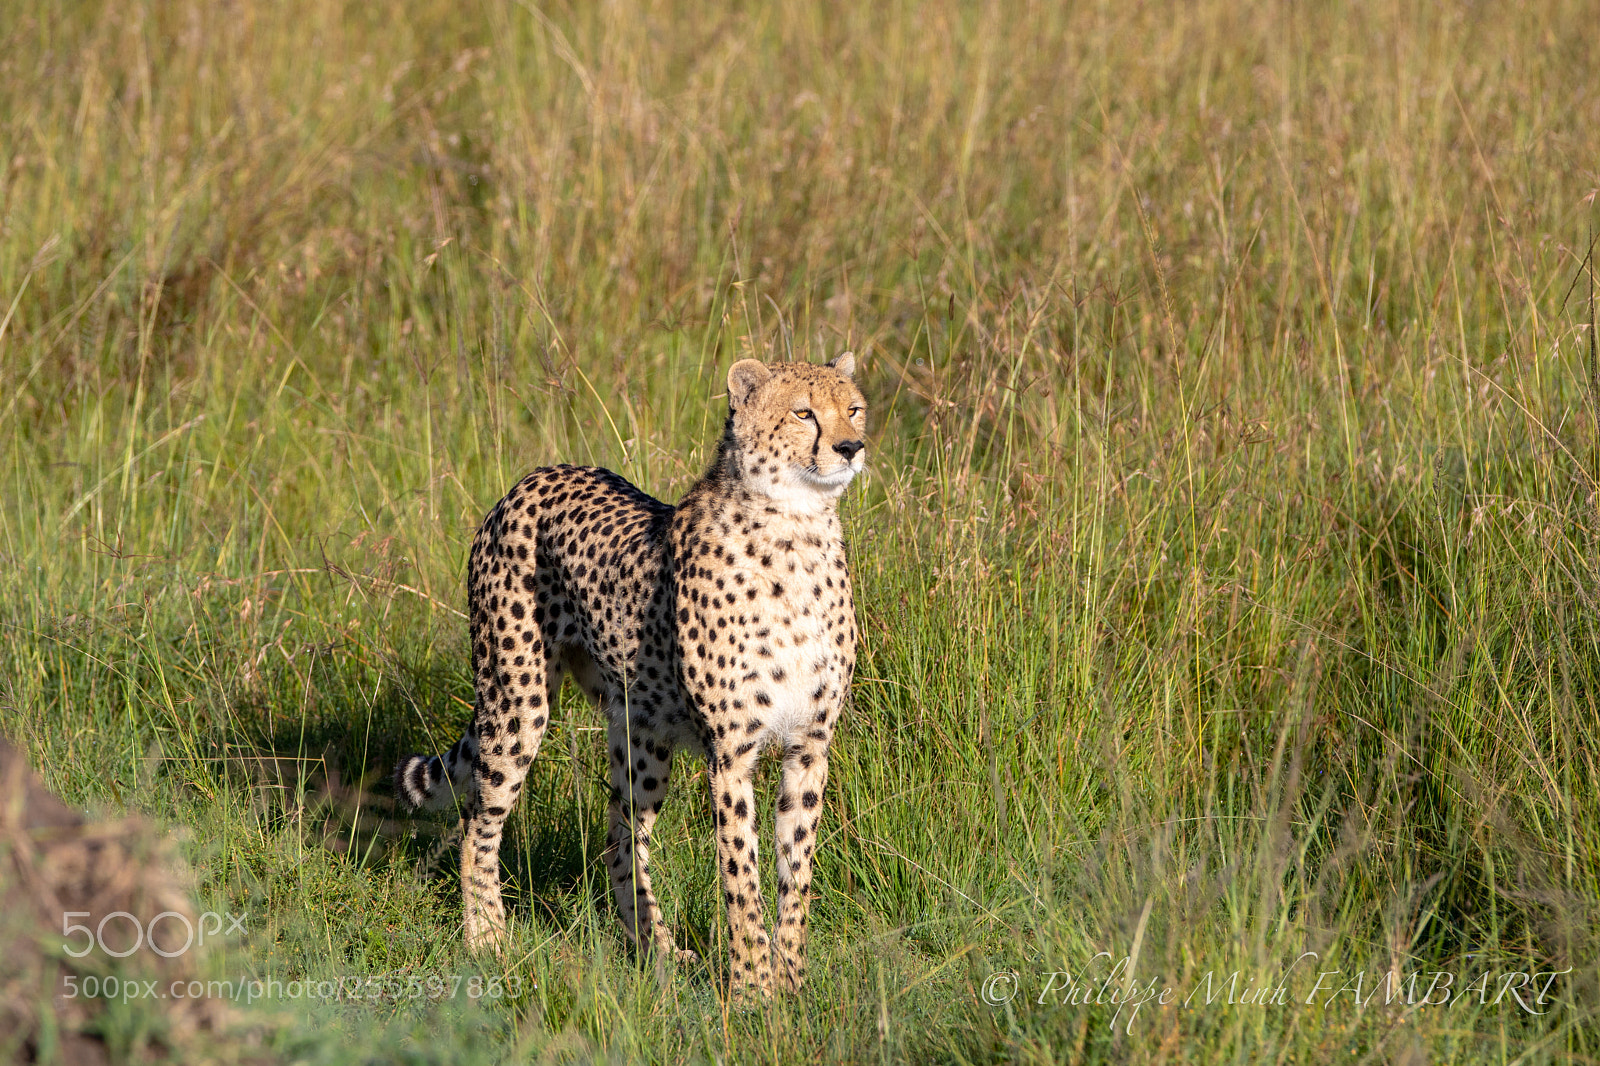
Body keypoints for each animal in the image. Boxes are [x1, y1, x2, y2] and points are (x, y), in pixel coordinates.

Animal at [394, 354, 867, 998]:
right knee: (477, 822)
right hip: (516, 700)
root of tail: (534, 476)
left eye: (854, 408)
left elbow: (796, 874)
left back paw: (657, 951)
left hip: (641, 739)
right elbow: (741, 877)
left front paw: (791, 984)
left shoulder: (809, 745)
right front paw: (750, 990)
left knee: (621, 843)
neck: (797, 532)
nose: (851, 446)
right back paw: (487, 938)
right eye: (803, 413)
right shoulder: (731, 755)